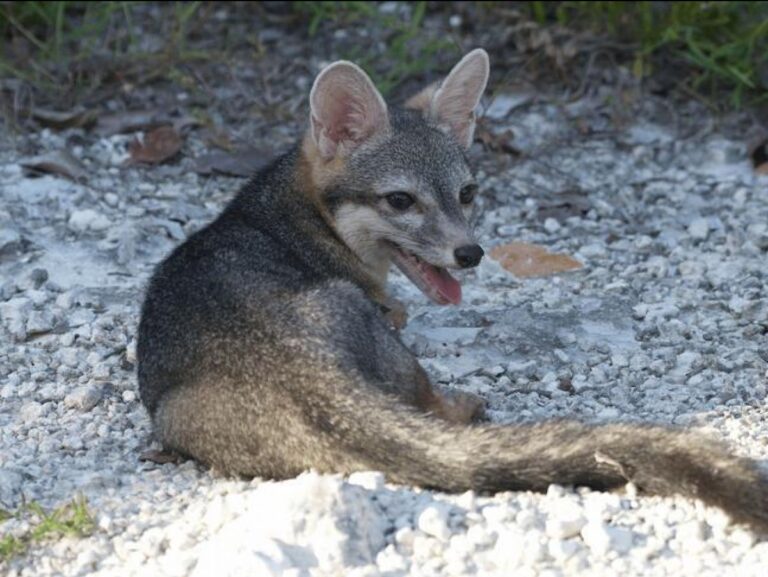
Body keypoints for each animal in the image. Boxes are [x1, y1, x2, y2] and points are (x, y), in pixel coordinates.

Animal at [137, 49, 768, 531]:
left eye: (467, 193)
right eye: (400, 201)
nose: (471, 253)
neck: (290, 216)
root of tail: (306, 374)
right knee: (433, 406)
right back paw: (463, 405)